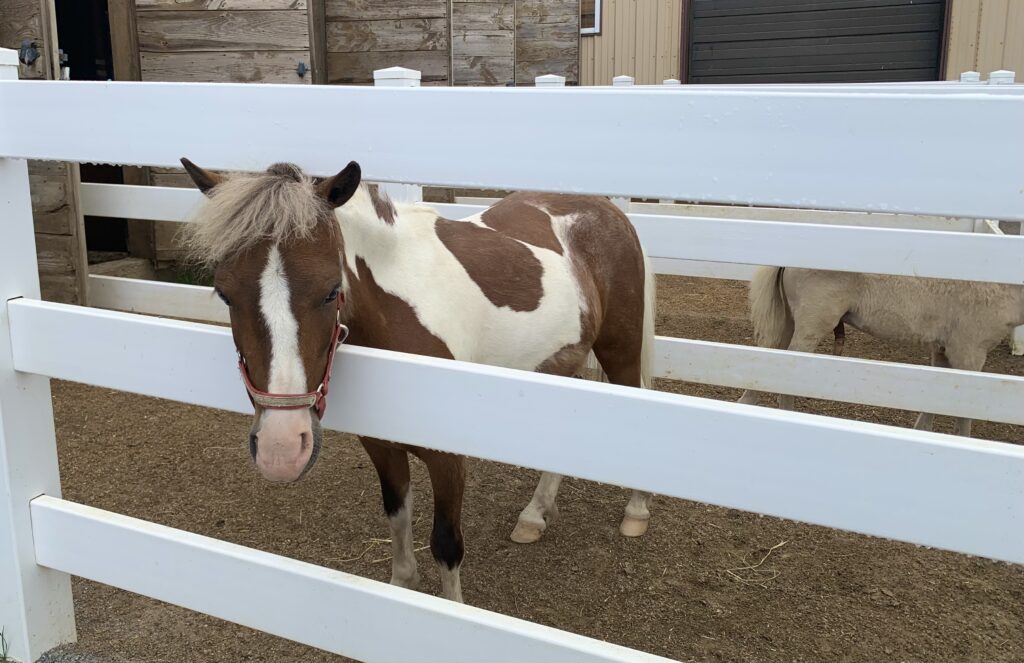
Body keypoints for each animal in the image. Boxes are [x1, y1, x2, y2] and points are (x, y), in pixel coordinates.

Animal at [181, 159, 659, 602]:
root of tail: (605, 209)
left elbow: (446, 545)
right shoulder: (381, 446)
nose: (280, 449)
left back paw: (635, 511)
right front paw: (402, 588)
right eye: (224, 294)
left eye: (331, 290)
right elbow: (397, 517)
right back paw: (534, 516)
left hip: (620, 351)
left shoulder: (449, 458)